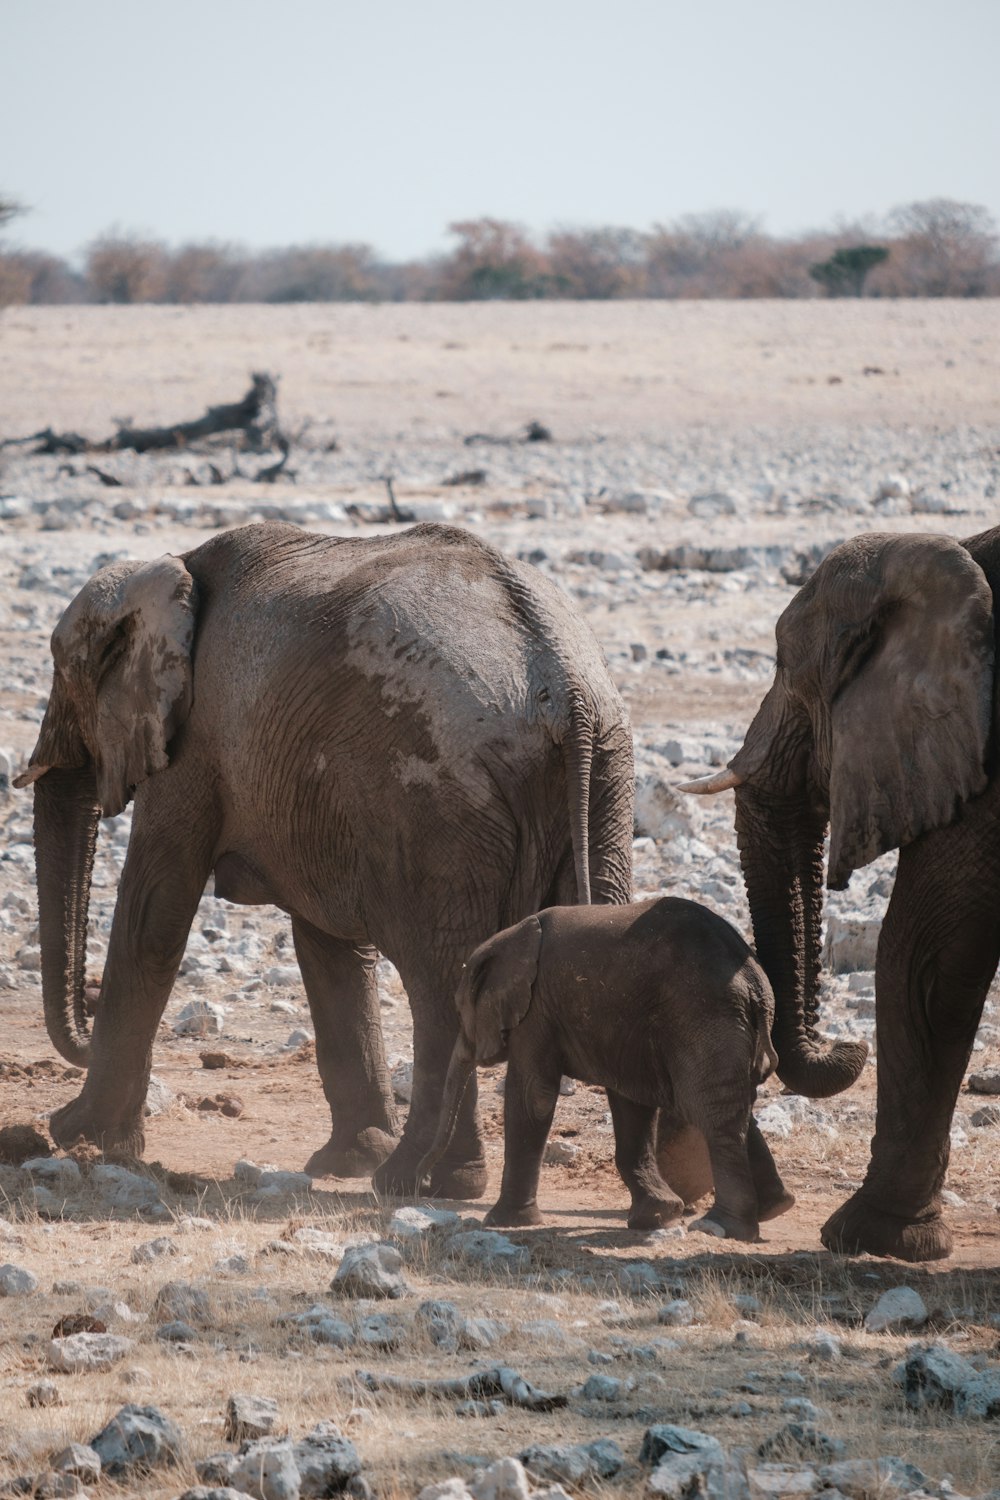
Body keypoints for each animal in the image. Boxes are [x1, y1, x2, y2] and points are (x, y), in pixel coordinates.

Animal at [13, 522, 632, 1200]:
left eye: (62, 672)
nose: (88, 1002)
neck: (172, 568)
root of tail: (565, 691)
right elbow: (328, 946)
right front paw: (345, 1161)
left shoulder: (197, 741)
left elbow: (154, 915)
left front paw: (79, 1137)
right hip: (602, 782)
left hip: (437, 799)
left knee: (441, 979)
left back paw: (413, 1181)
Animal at [419, 894, 791, 1236]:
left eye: (460, 1010)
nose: (422, 1184)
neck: (513, 935)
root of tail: (754, 983)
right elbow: (632, 1102)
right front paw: (658, 1216)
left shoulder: (536, 1011)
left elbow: (533, 1095)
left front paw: (503, 1222)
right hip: (723, 1026)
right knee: (732, 1106)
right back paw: (774, 1206)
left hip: (704, 1018)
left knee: (709, 1110)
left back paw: (722, 1225)